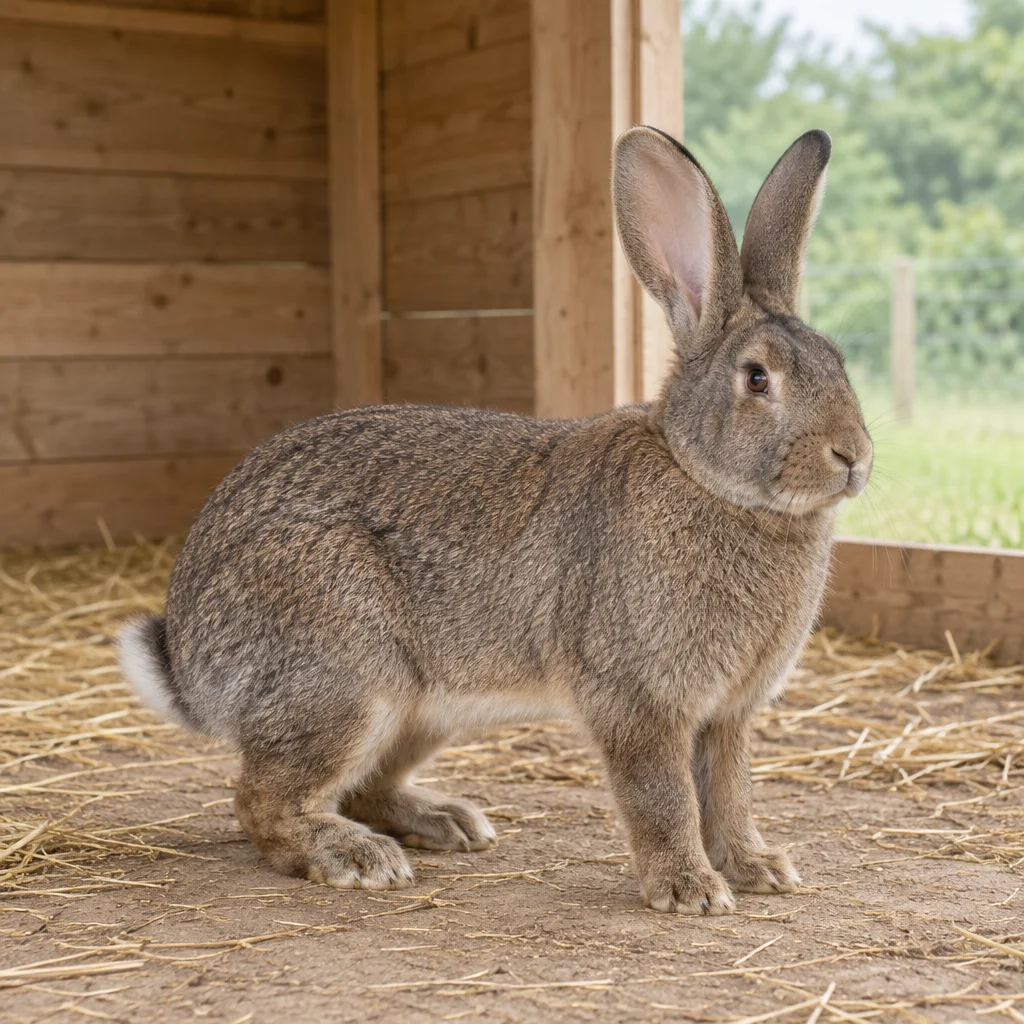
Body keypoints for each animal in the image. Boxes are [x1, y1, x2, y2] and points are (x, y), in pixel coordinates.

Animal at [118, 126, 872, 915]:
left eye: (838, 361)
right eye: (757, 378)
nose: (853, 456)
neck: (703, 478)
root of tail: (191, 661)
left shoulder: (727, 717)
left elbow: (727, 795)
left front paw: (758, 868)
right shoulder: (639, 702)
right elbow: (662, 797)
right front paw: (688, 889)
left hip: (421, 711)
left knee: (360, 787)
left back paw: (445, 822)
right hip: (345, 675)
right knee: (262, 800)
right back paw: (356, 857)